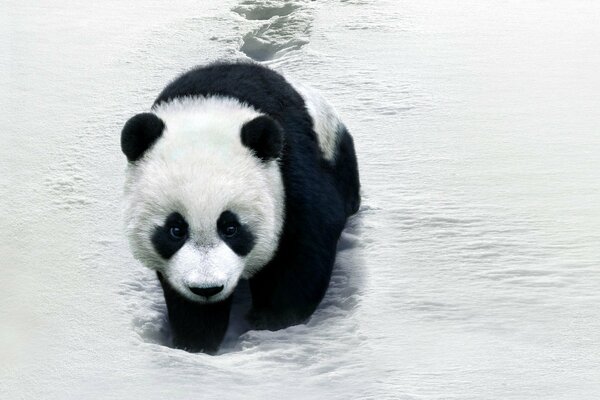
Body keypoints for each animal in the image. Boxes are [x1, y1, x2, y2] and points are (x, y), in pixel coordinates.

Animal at [119, 61, 358, 354]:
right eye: (175, 230)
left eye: (230, 227)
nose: (207, 288)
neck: (210, 106)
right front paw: (196, 339)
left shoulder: (289, 169)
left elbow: (304, 246)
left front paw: (272, 322)